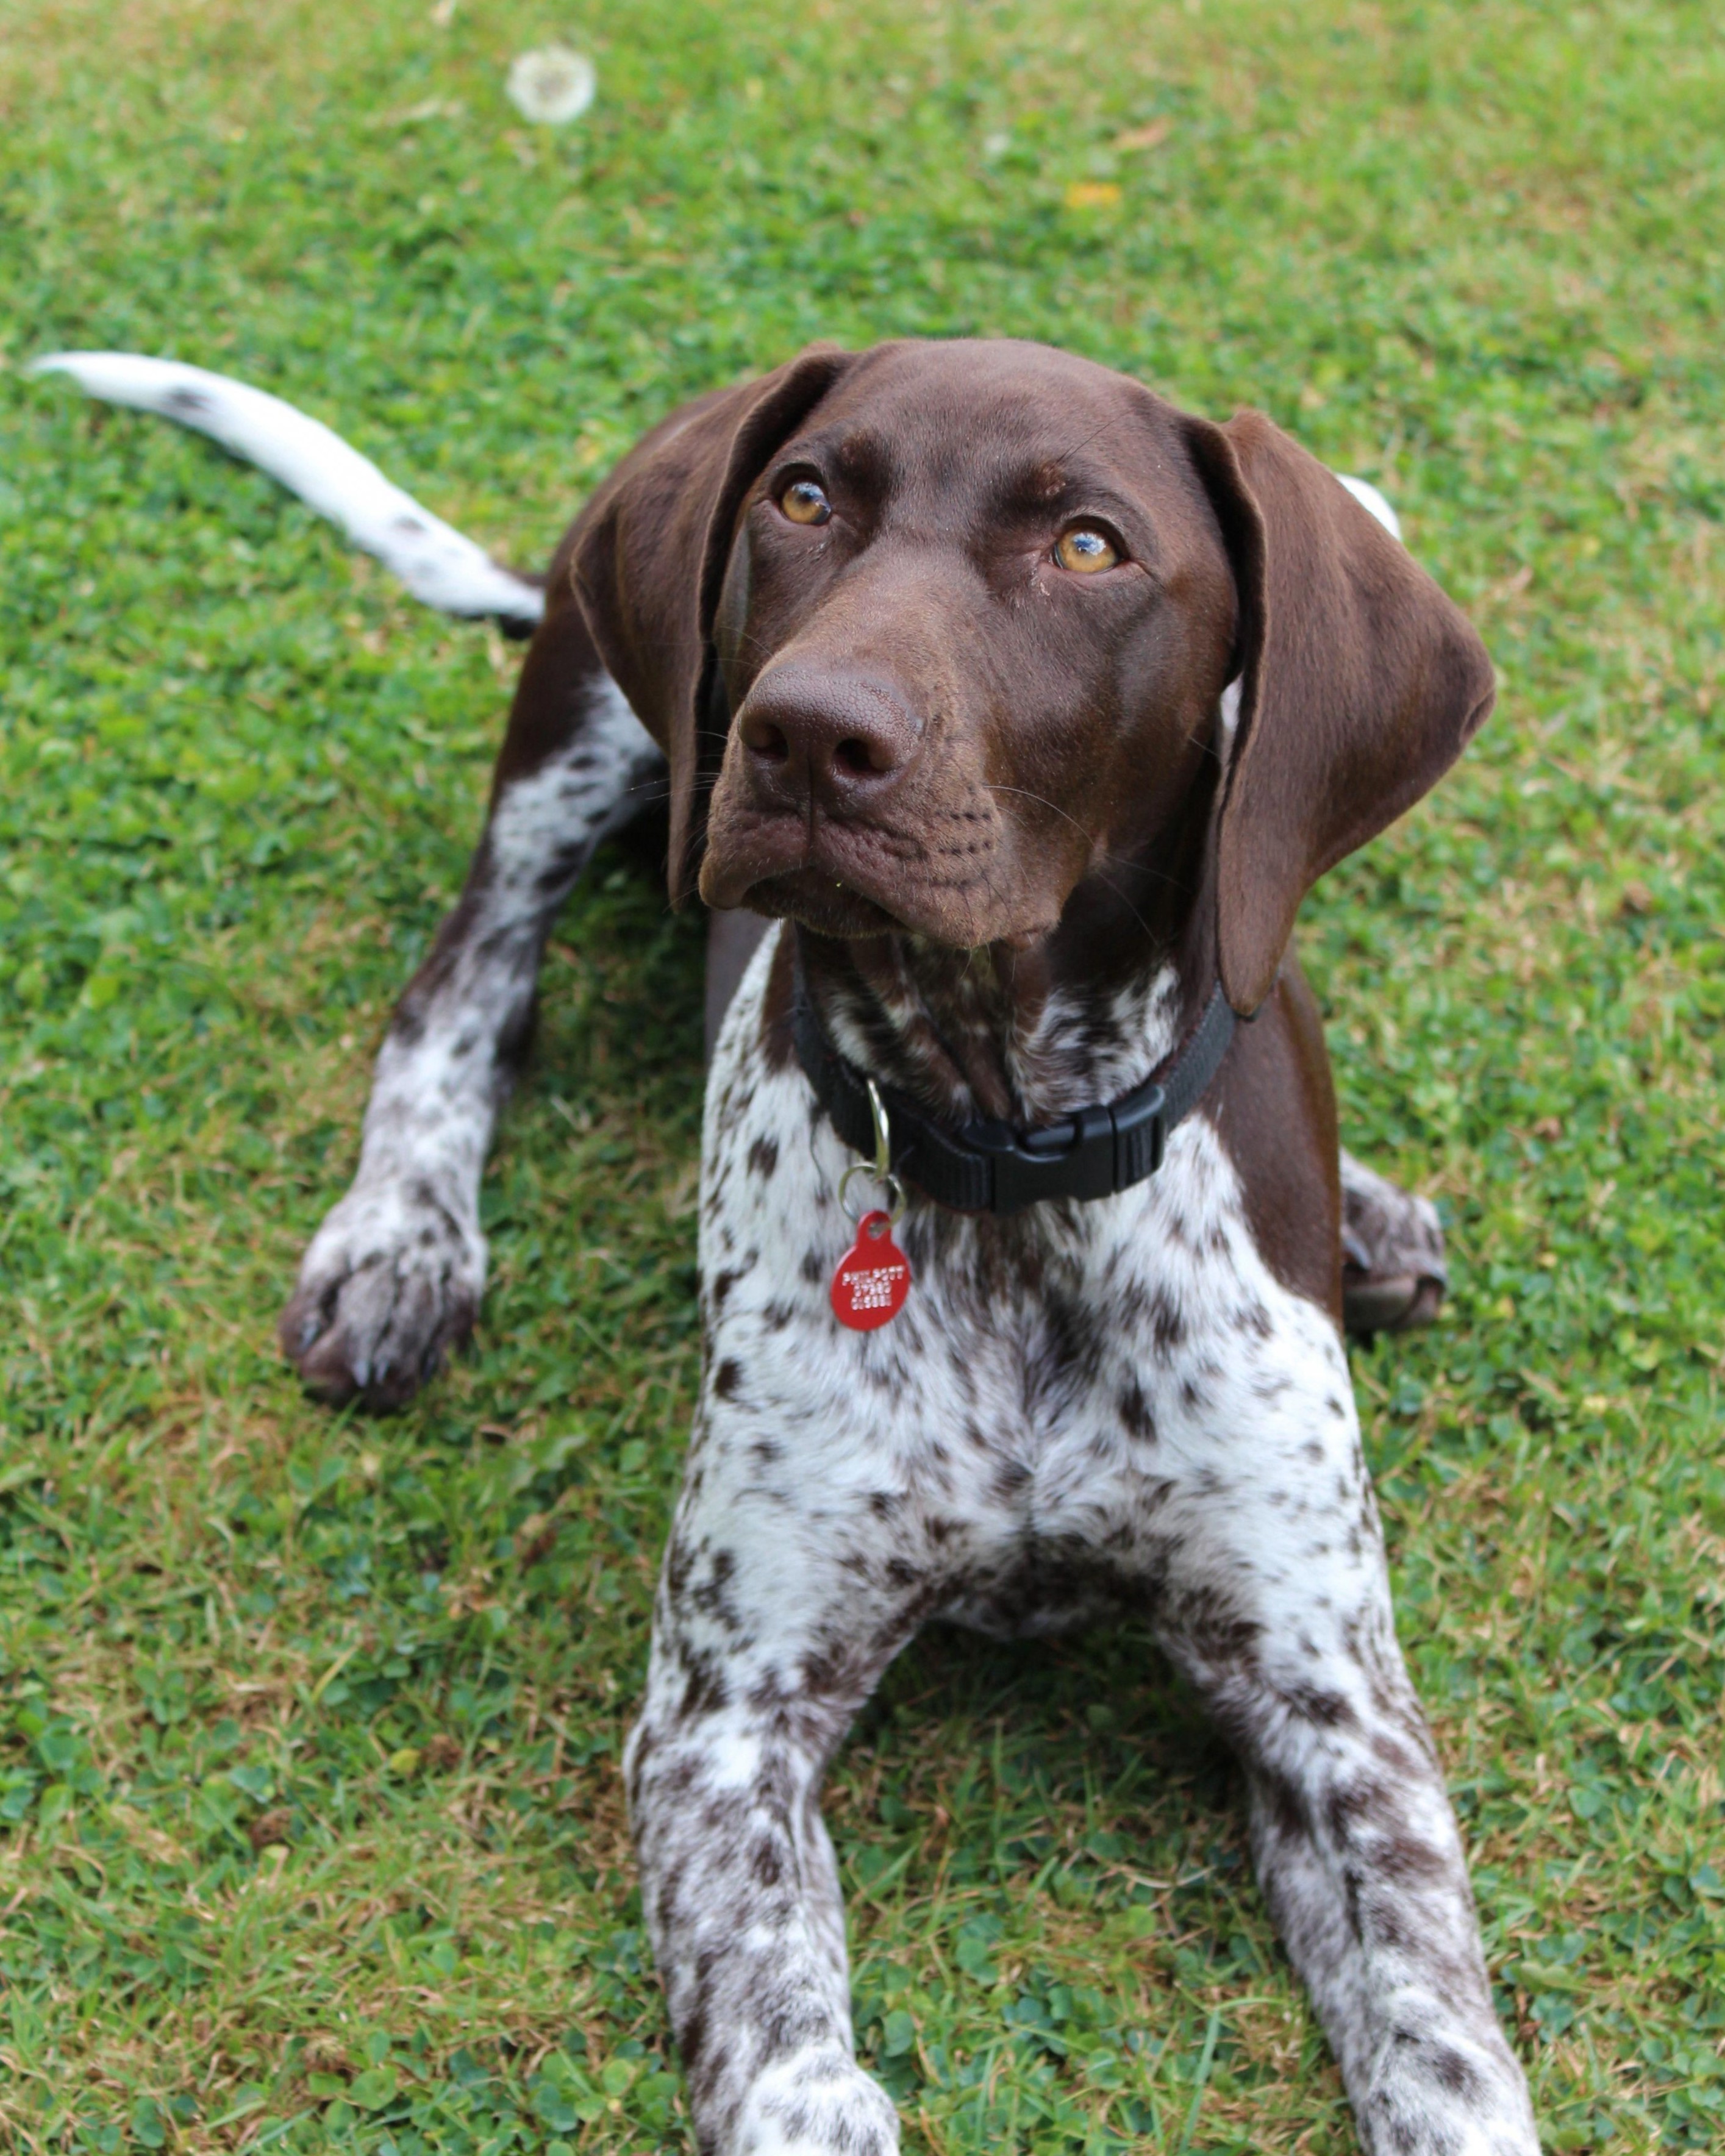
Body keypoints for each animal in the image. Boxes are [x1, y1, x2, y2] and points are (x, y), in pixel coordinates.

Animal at [40, 344, 1526, 2156]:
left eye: (1090, 547)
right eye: (805, 500)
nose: (811, 732)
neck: (1004, 1160)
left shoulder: (1334, 1711)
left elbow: (1444, 2048)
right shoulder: (727, 1717)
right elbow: (785, 2057)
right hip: (584, 739)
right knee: (465, 988)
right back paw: (401, 1242)